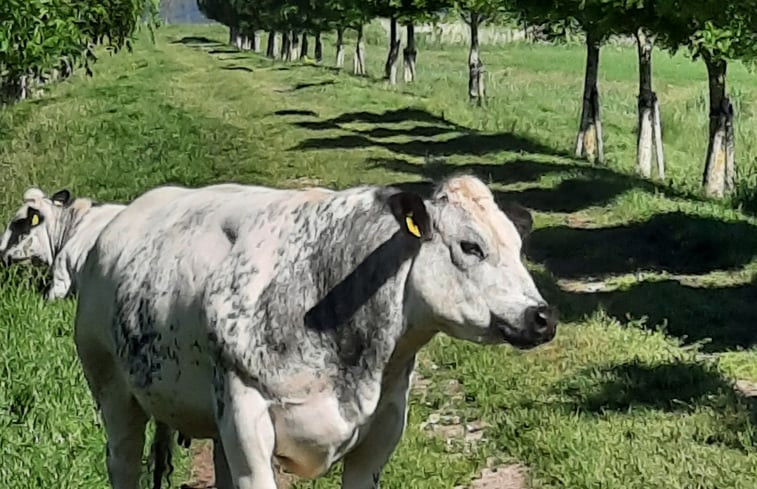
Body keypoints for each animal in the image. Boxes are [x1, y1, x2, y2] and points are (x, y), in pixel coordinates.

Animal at [75, 175, 556, 488]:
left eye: (519, 246)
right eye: (471, 247)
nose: (542, 317)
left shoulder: (383, 427)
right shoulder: (247, 416)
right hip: (113, 390)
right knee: (122, 462)